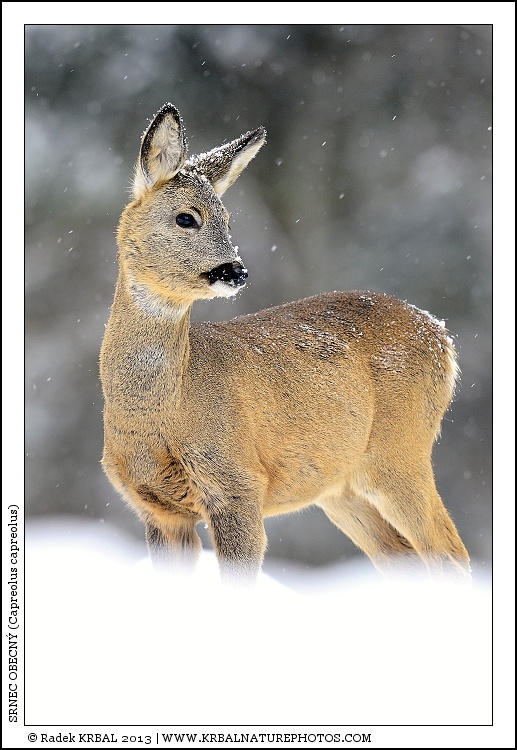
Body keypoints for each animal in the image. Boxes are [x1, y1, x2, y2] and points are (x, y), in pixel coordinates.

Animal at [100, 102, 471, 586]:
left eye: (228, 219)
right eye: (186, 217)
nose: (235, 271)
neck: (164, 413)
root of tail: (442, 336)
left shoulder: (238, 483)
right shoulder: (156, 508)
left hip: (400, 452)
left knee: (450, 555)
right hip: (341, 488)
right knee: (402, 558)